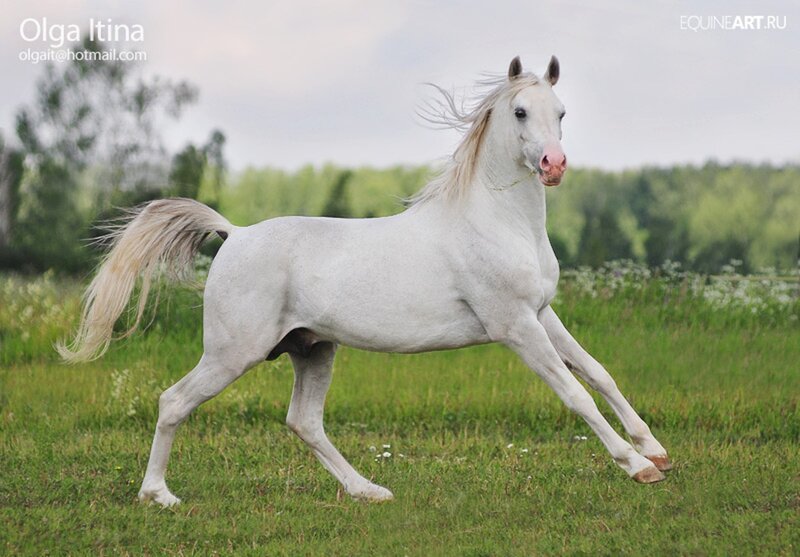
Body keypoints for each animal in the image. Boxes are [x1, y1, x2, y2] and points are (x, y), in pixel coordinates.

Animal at [59, 56, 671, 507]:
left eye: (562, 112)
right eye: (520, 111)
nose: (553, 164)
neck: (498, 223)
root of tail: (234, 234)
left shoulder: (542, 313)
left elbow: (600, 374)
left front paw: (657, 450)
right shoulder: (515, 326)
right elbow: (575, 394)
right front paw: (638, 467)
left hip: (312, 349)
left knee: (303, 422)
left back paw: (368, 491)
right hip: (234, 352)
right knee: (174, 401)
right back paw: (158, 496)